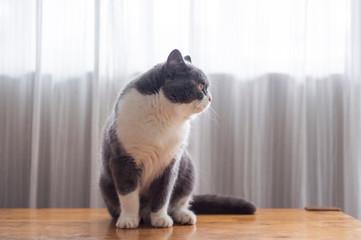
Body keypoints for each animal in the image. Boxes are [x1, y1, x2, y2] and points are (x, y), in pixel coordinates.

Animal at [99, 49, 256, 230]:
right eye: (200, 86)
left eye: (207, 88)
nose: (210, 98)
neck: (164, 118)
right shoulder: (123, 159)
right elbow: (128, 193)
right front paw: (129, 219)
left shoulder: (171, 163)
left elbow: (163, 194)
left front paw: (160, 218)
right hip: (104, 181)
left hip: (189, 172)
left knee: (179, 202)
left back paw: (183, 215)